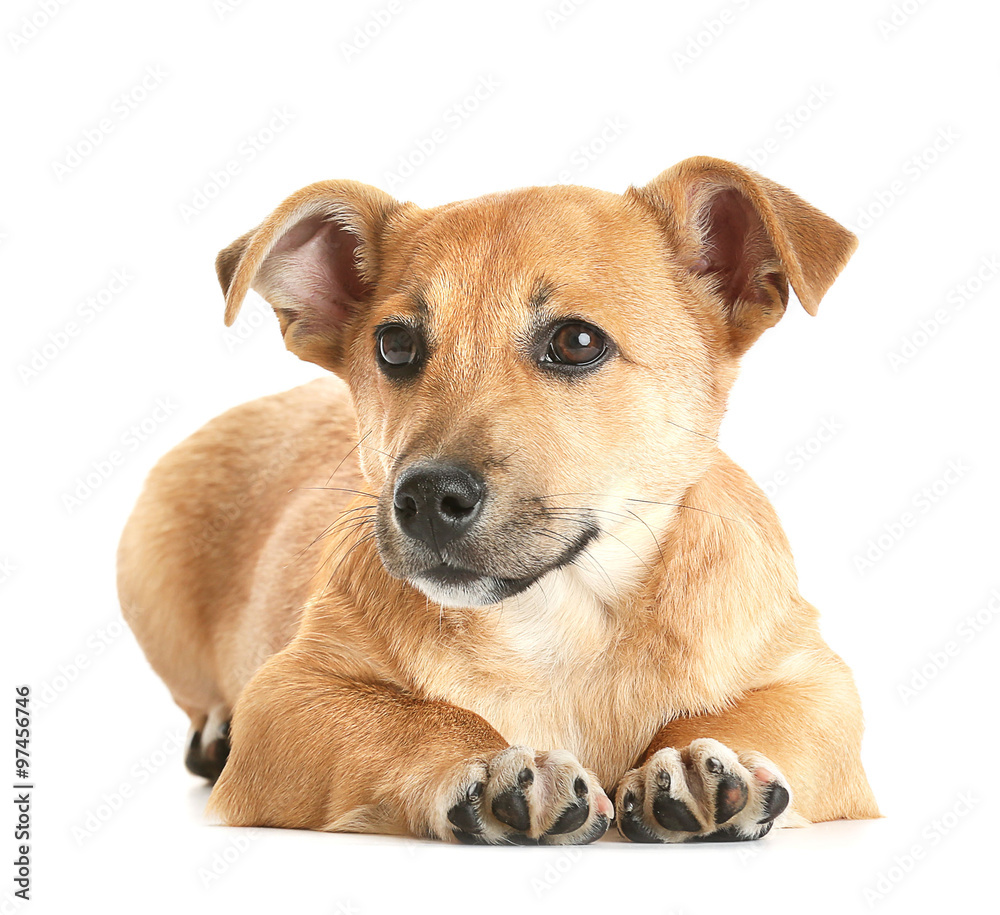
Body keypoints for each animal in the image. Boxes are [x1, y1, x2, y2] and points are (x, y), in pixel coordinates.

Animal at [117, 156, 880, 844]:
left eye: (577, 340)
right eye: (394, 345)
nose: (426, 496)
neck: (566, 618)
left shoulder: (822, 688)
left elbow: (755, 713)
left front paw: (693, 755)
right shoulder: (288, 696)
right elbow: (407, 718)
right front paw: (485, 760)